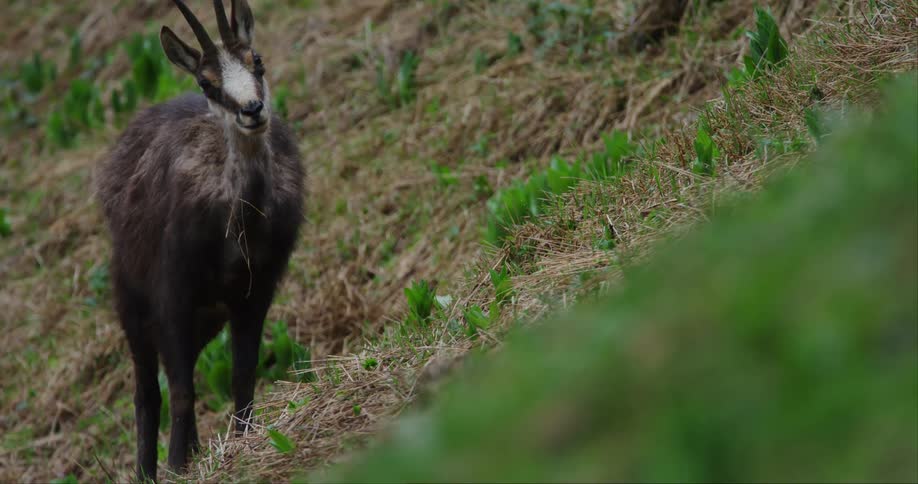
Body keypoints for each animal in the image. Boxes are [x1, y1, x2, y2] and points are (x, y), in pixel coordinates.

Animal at [94, 0, 304, 480]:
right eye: (206, 82)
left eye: (256, 59)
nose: (252, 109)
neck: (238, 230)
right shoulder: (173, 294)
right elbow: (181, 391)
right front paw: (174, 467)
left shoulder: (255, 293)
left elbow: (242, 375)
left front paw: (242, 441)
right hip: (131, 300)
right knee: (148, 391)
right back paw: (151, 470)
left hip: (205, 319)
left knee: (182, 367)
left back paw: (190, 451)